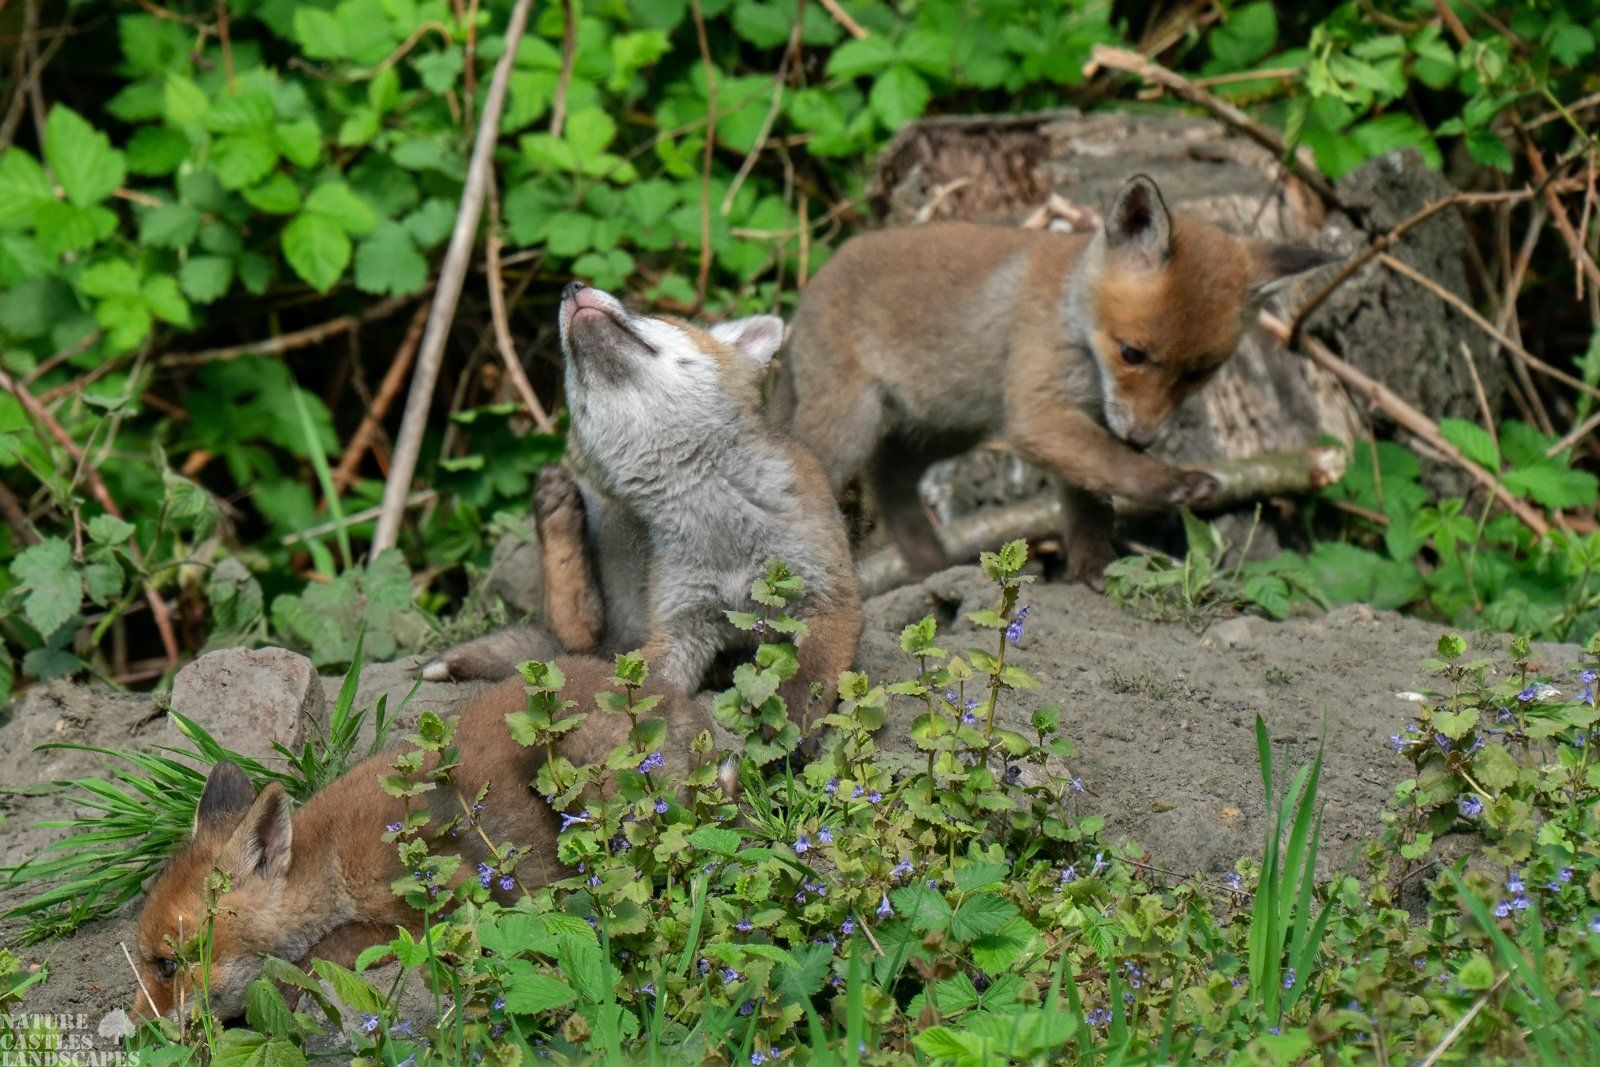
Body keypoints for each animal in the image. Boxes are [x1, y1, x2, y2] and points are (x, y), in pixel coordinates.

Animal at [130, 656, 720, 1023]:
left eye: (168, 965)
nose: (141, 1031)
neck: (332, 862)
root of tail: (678, 699)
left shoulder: (439, 906)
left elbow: (325, 951)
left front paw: (290, 986)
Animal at [424, 282, 863, 730]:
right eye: (568, 371)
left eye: (654, 317)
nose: (571, 287)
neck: (717, 524)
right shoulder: (679, 625)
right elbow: (636, 693)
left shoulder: (828, 596)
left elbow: (807, 680)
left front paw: (789, 729)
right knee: (575, 635)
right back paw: (555, 515)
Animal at [775, 173, 1337, 591]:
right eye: (1132, 354)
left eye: (1199, 373)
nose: (1143, 437)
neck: (1075, 325)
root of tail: (810, 287)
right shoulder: (1039, 416)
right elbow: (1113, 468)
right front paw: (1170, 483)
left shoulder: (1077, 420)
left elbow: (1089, 501)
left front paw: (1092, 570)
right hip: (855, 422)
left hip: (953, 425)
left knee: (888, 474)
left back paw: (931, 567)